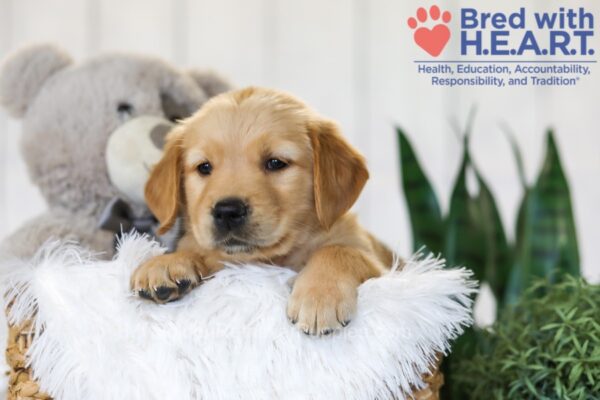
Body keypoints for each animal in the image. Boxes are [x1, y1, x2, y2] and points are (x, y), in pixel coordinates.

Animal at [131, 87, 394, 334]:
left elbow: (339, 251)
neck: (274, 258)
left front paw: (320, 295)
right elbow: (199, 250)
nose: (227, 211)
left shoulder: (378, 262)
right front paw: (166, 263)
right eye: (204, 167)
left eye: (276, 163)